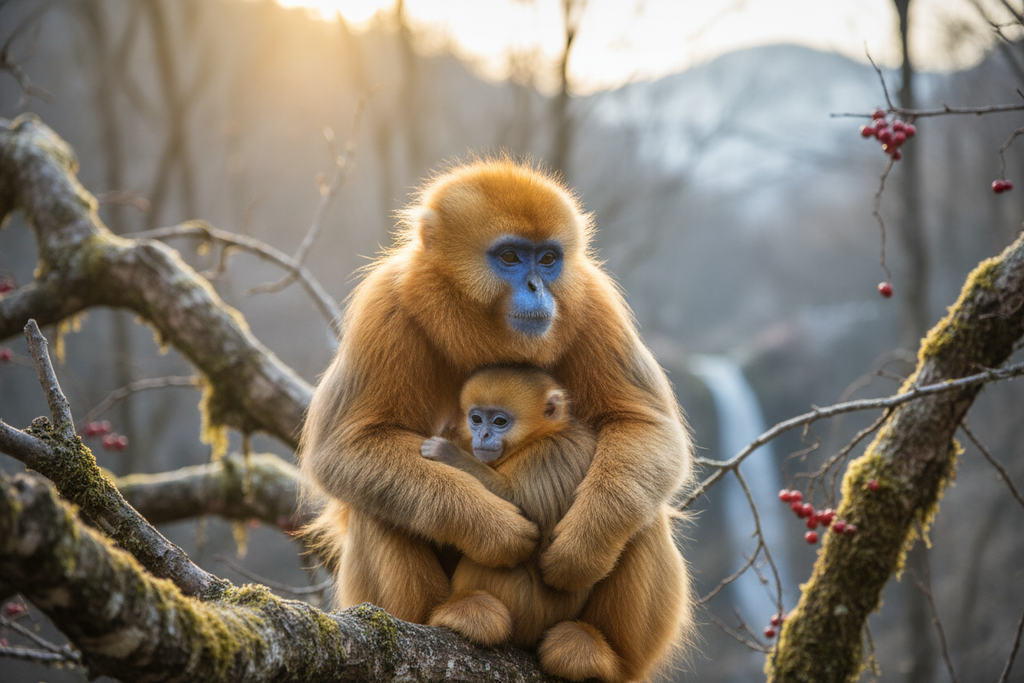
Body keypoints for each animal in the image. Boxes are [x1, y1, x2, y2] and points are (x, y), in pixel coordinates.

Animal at [420, 365, 596, 650]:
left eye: (500, 422)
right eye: (476, 419)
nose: (482, 435)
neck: (543, 435)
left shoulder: (546, 455)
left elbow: (525, 514)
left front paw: (447, 451)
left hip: (528, 611)